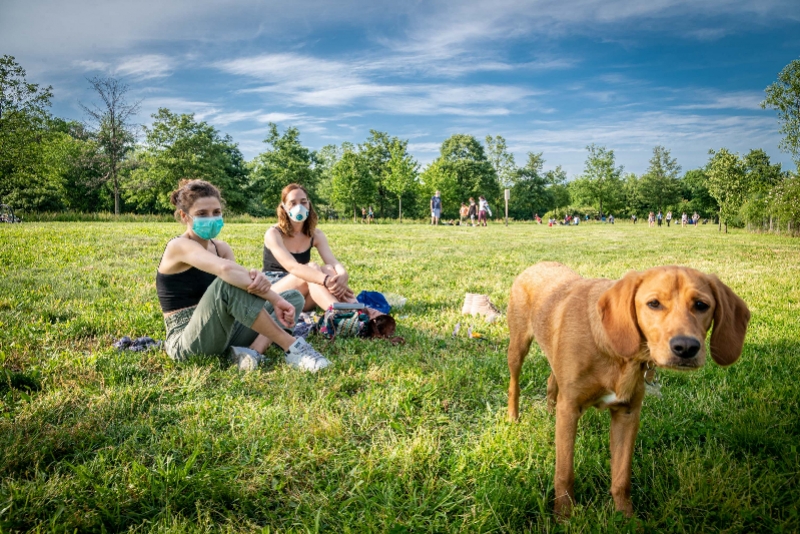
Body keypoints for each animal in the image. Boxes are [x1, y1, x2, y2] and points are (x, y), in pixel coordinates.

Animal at [506, 264, 752, 520]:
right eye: (654, 303)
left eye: (702, 305)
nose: (686, 347)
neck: (616, 351)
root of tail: (538, 265)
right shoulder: (570, 409)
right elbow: (564, 473)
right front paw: (564, 516)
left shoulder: (627, 414)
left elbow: (622, 478)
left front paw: (626, 518)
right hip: (518, 347)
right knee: (514, 383)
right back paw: (513, 417)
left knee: (551, 380)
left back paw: (548, 412)